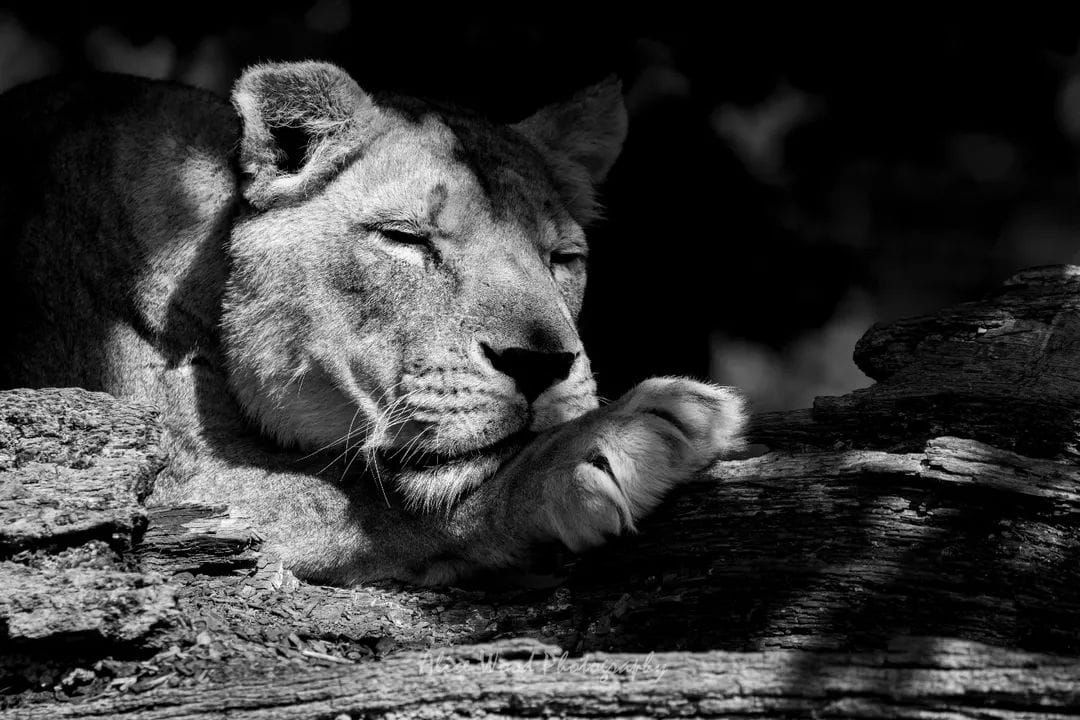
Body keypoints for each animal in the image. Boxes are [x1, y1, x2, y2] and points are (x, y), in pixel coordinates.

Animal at [0, 62, 745, 585]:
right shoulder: (166, 482)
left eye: (562, 259)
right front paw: (614, 439)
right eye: (405, 239)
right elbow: (374, 504)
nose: (540, 365)